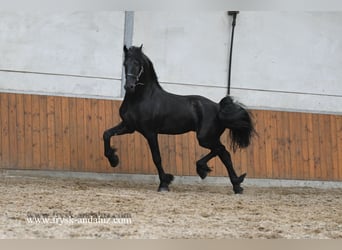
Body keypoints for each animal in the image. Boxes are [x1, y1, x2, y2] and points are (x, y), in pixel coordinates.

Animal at [101, 45, 254, 193]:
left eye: (138, 64)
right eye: (125, 63)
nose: (129, 86)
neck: (140, 99)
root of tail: (218, 108)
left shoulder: (150, 132)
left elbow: (157, 158)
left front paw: (164, 183)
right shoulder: (129, 126)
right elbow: (106, 134)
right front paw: (113, 160)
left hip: (205, 138)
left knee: (222, 151)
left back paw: (211, 172)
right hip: (209, 138)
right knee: (224, 154)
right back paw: (235, 185)